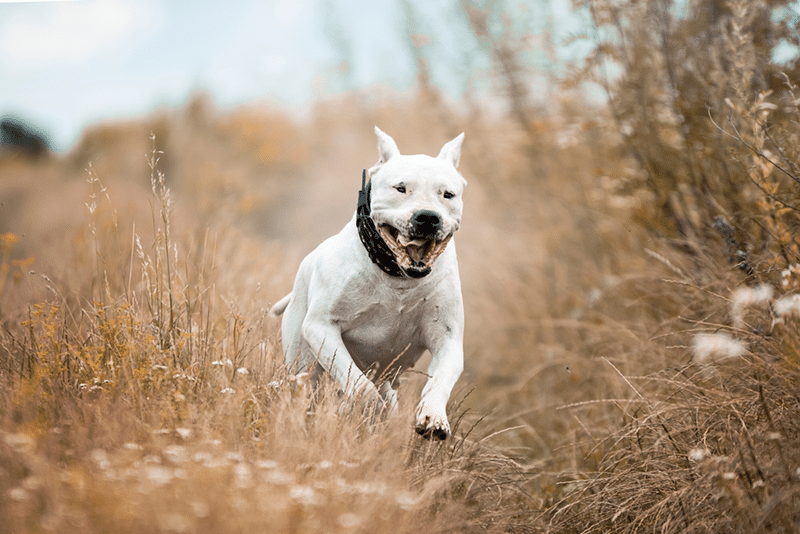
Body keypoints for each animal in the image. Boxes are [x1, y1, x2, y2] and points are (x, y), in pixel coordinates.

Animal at [272, 127, 466, 442]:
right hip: (303, 366)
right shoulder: (321, 327)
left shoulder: (447, 339)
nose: (427, 217)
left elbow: (441, 380)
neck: (398, 277)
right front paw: (368, 406)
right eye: (401, 188)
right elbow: (358, 383)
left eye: (448, 194)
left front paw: (434, 416)